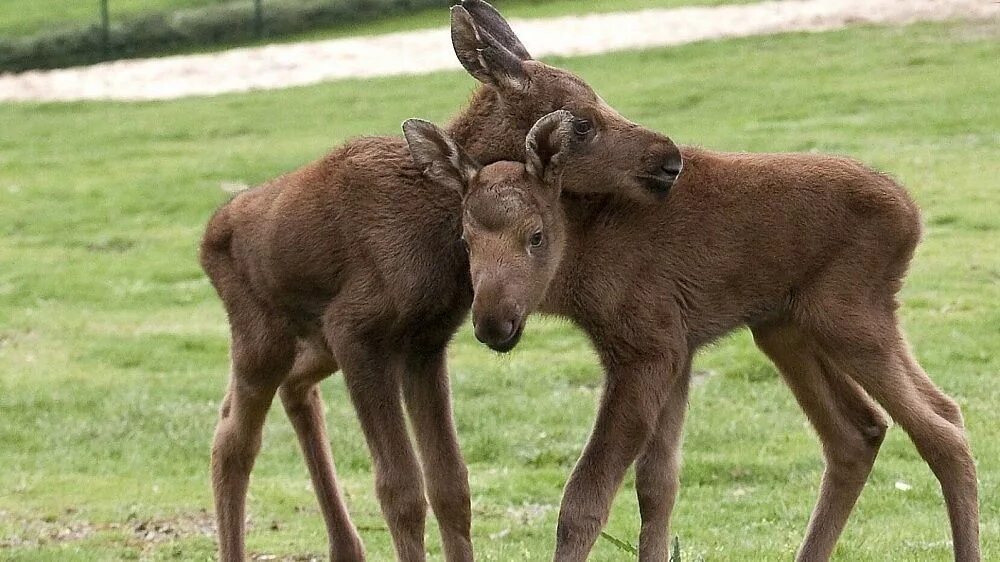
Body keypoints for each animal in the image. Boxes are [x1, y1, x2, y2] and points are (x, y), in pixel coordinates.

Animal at [404, 110, 976, 560]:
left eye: (536, 236)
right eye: (465, 240)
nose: (492, 323)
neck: (582, 259)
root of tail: (912, 214)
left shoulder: (648, 348)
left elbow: (585, 499)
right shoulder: (678, 352)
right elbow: (657, 487)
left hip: (849, 315)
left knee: (940, 431)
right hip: (787, 327)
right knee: (868, 430)